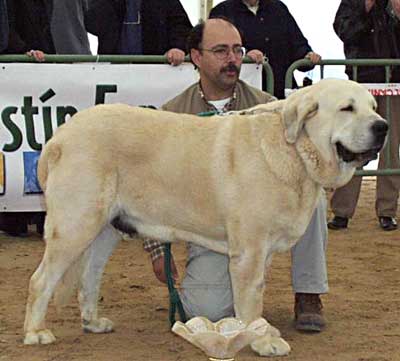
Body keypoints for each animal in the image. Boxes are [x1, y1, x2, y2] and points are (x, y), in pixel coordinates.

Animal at [23, 78, 386, 354]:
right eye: (347, 108)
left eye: (373, 107)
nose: (382, 127)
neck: (293, 149)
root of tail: (59, 136)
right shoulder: (249, 252)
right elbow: (252, 300)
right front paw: (262, 340)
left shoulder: (262, 253)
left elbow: (254, 296)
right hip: (75, 224)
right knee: (40, 280)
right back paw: (35, 332)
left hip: (104, 230)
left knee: (89, 277)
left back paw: (93, 322)